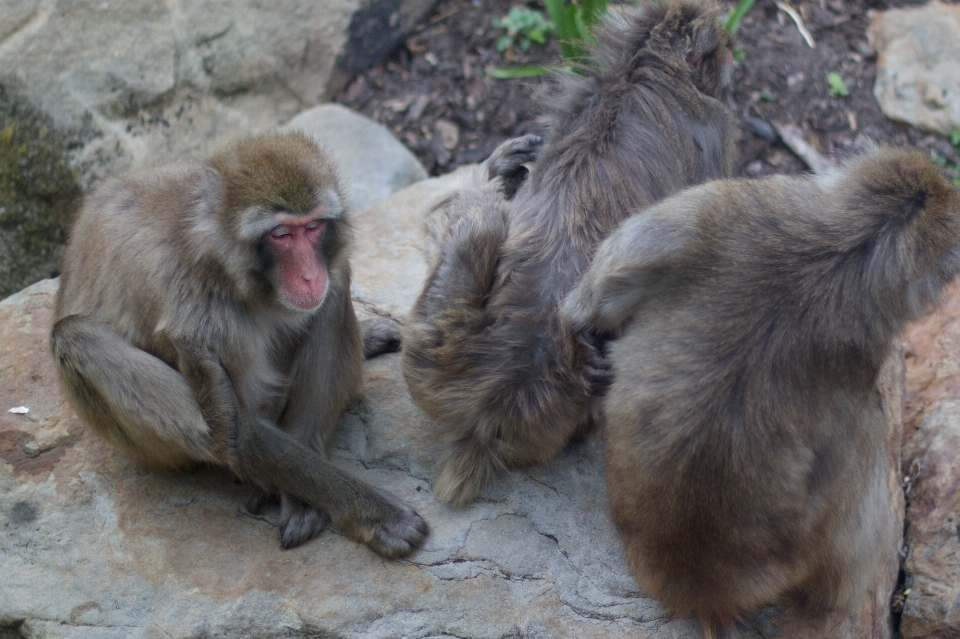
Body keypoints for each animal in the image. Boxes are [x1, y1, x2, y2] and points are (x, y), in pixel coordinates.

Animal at [50, 129, 428, 556]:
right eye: (281, 235)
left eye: (313, 227)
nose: (309, 275)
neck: (229, 269)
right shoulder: (198, 310)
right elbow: (239, 429)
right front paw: (373, 512)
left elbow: (331, 288)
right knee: (75, 339)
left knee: (334, 286)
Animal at [402, 0, 740, 508]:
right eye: (721, 50)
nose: (733, 65)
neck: (642, 64)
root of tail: (499, 397)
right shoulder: (713, 130)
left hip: (427, 354)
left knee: (481, 224)